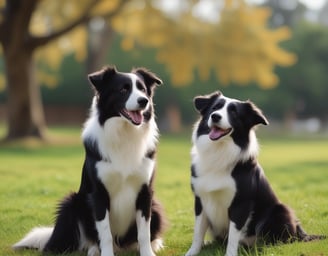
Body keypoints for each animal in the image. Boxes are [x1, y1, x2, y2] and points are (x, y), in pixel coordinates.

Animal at [14, 66, 165, 256]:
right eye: (123, 90)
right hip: (71, 204)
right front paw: (106, 254)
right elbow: (105, 233)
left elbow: (144, 232)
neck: (124, 133)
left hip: (155, 207)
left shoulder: (145, 192)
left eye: (143, 89)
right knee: (88, 239)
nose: (144, 101)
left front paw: (147, 252)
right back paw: (93, 249)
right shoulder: (98, 193)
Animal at [184, 91, 322, 255]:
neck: (219, 151)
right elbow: (198, 232)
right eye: (214, 108)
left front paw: (230, 254)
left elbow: (233, 236)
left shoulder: (241, 203)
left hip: (280, 210)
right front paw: (192, 252)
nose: (215, 116)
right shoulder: (200, 199)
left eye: (234, 112)